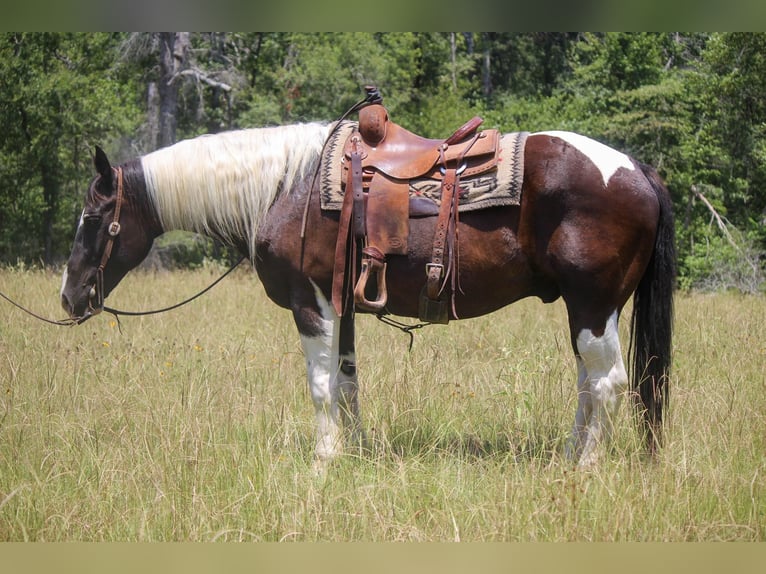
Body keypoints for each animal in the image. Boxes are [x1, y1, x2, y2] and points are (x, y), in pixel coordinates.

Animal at [61, 113, 680, 472]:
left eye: (92, 218)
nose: (70, 297)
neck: (287, 187)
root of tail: (637, 169)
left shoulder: (310, 304)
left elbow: (319, 386)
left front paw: (323, 459)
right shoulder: (344, 306)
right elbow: (347, 381)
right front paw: (354, 450)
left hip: (594, 306)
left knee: (607, 382)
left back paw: (586, 467)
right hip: (588, 311)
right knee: (589, 384)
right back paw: (572, 455)